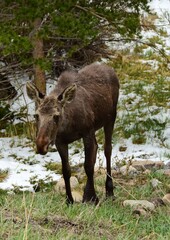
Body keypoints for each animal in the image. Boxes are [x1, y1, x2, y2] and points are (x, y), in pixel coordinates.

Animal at [26, 62, 119, 203]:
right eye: (36, 115)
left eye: (56, 116)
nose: (41, 145)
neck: (68, 126)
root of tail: (109, 68)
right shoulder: (60, 142)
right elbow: (66, 171)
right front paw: (69, 200)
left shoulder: (87, 133)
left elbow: (88, 166)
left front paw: (92, 198)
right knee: (96, 148)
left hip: (111, 117)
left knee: (107, 149)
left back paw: (109, 190)